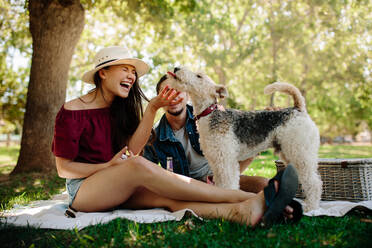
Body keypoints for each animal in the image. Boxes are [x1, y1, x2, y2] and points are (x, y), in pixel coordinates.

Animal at [167, 67, 322, 210]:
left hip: (300, 153)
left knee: (314, 182)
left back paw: (311, 207)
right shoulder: (217, 162)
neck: (209, 114)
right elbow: (220, 186)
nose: (176, 68)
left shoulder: (226, 161)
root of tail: (298, 109)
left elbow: (228, 185)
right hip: (290, 154)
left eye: (199, 76)